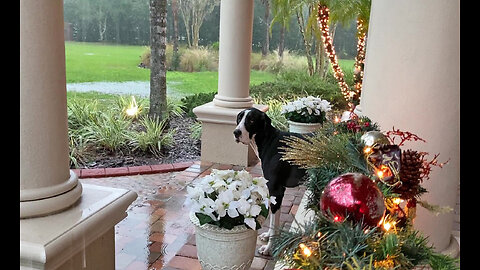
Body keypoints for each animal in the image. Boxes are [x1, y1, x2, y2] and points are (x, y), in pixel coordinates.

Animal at [233, 106, 308, 255]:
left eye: (251, 120)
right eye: (239, 118)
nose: (236, 132)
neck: (269, 141)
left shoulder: (276, 190)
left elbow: (273, 222)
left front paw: (269, 248)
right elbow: (275, 220)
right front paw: (269, 237)